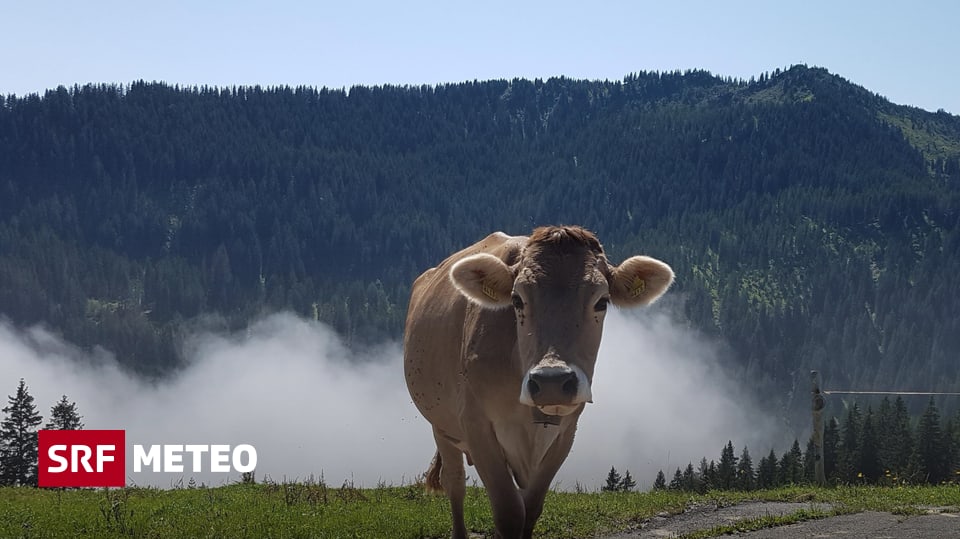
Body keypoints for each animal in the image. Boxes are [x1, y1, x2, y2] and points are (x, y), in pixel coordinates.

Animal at [404, 226, 676, 536]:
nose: (552, 382)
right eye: (517, 300)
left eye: (602, 302)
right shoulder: (477, 426)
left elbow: (531, 507)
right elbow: (509, 512)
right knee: (455, 484)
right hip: (442, 426)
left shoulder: (565, 433)